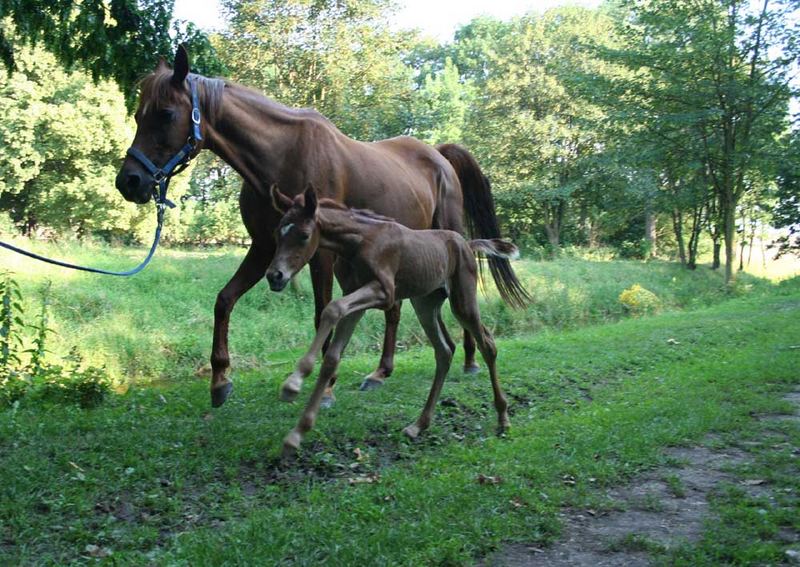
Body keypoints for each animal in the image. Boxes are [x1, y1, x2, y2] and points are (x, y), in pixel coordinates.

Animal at [268, 186, 512, 458]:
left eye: (304, 235)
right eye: (277, 232)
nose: (274, 276)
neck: (359, 242)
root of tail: (467, 244)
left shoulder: (384, 293)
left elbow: (332, 308)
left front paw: (293, 384)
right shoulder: (355, 299)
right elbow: (332, 356)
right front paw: (296, 434)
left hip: (463, 302)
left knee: (487, 345)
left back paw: (503, 419)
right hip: (424, 304)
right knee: (444, 351)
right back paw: (418, 425)